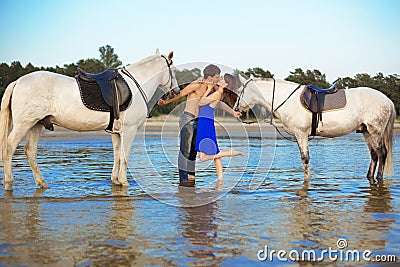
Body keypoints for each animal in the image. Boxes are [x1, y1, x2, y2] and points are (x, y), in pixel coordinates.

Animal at [0, 50, 178, 192]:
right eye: (174, 70)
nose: (176, 91)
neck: (135, 86)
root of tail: (17, 82)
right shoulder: (129, 130)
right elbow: (124, 157)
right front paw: (124, 182)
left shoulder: (116, 132)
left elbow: (117, 156)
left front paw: (115, 181)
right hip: (24, 125)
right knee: (9, 148)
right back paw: (9, 183)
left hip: (36, 125)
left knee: (30, 151)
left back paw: (42, 183)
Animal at [236, 75, 396, 184]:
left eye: (239, 91)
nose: (236, 109)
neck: (288, 100)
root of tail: (387, 100)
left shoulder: (301, 134)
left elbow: (305, 159)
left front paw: (307, 181)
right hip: (366, 132)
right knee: (374, 155)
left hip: (375, 131)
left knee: (382, 153)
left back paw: (379, 178)